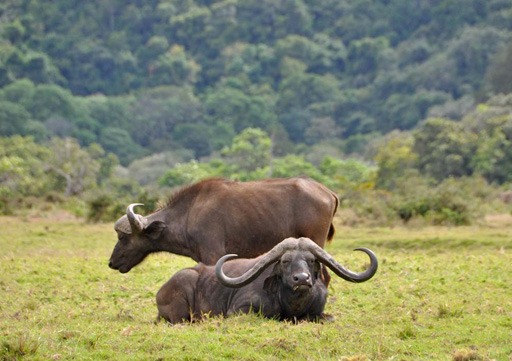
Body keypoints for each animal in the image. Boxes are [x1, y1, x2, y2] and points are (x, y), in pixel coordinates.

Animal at [156, 235, 376, 322]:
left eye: (311, 260)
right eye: (285, 261)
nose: (301, 279)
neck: (292, 305)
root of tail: (160, 293)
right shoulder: (238, 310)